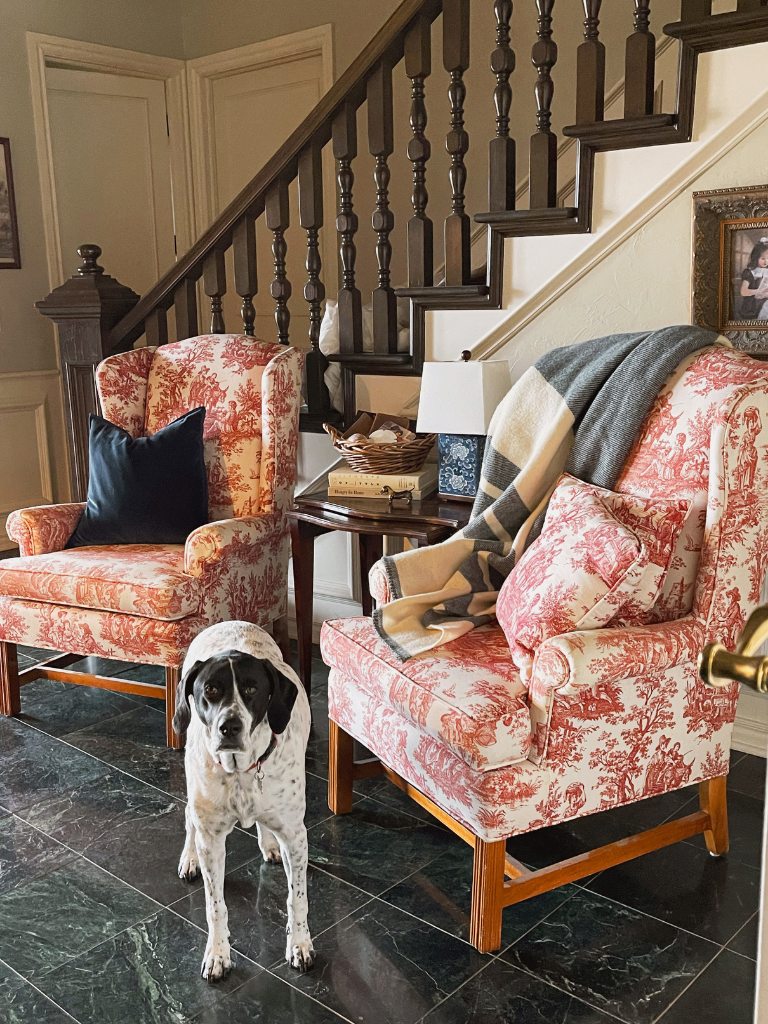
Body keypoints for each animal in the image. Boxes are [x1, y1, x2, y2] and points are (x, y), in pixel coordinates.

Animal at [175, 618, 315, 978]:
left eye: (252, 690)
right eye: (210, 690)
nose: (229, 726)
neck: (240, 771)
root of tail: (232, 621)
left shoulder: (296, 835)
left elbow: (297, 898)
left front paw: (300, 944)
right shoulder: (211, 839)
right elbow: (215, 906)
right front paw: (217, 953)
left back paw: (268, 843)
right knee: (188, 818)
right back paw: (189, 858)